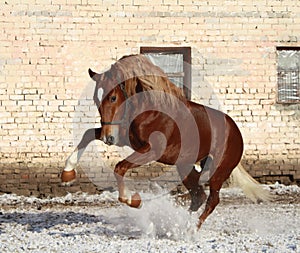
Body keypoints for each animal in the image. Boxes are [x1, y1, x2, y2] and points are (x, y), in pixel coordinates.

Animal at [61, 54, 272, 228]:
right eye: (96, 100)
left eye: (113, 97)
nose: (108, 138)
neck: (149, 110)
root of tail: (236, 131)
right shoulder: (127, 139)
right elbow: (88, 134)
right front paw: (67, 173)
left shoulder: (152, 150)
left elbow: (119, 167)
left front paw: (133, 200)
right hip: (185, 166)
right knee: (198, 197)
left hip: (218, 171)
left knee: (212, 200)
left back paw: (190, 229)